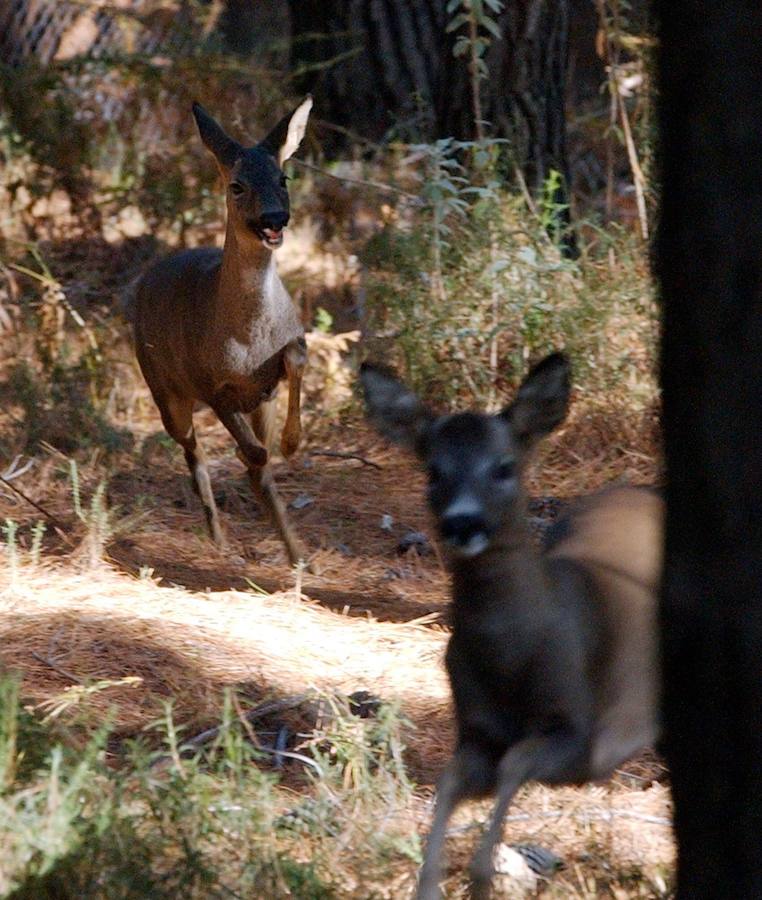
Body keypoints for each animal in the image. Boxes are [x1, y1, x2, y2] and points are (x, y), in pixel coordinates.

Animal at [131, 96, 312, 564]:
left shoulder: (280, 361)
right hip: (164, 389)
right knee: (193, 455)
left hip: (254, 403)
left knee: (244, 465)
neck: (248, 338)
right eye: (237, 186)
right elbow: (250, 449)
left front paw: (292, 441)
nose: (275, 218)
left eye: (283, 177)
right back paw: (218, 539)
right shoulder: (208, 382)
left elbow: (296, 359)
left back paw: (296, 554)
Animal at [360, 354, 664, 900]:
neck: (513, 654)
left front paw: (486, 874)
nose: (462, 523)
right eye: (433, 470)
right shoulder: (475, 730)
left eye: (504, 466)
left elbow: (515, 764)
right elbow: (450, 784)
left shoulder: (580, 733)